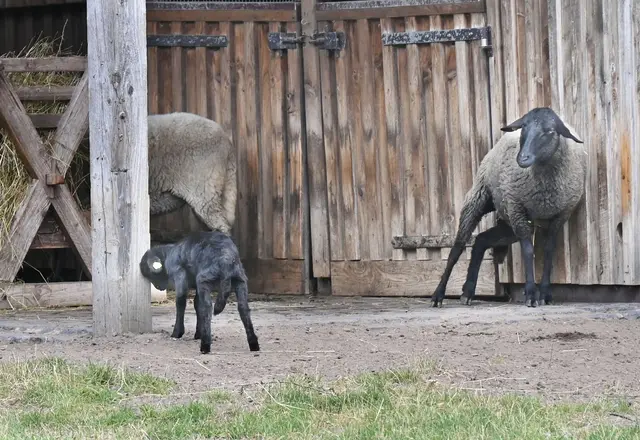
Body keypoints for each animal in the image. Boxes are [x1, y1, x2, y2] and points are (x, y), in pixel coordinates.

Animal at [430, 107, 587, 308]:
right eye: (523, 127)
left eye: (550, 131)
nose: (523, 158)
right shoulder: (517, 208)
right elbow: (528, 251)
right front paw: (531, 294)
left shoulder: (560, 216)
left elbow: (549, 251)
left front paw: (545, 294)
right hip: (480, 198)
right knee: (456, 249)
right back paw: (438, 295)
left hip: (508, 221)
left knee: (481, 240)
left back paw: (468, 291)